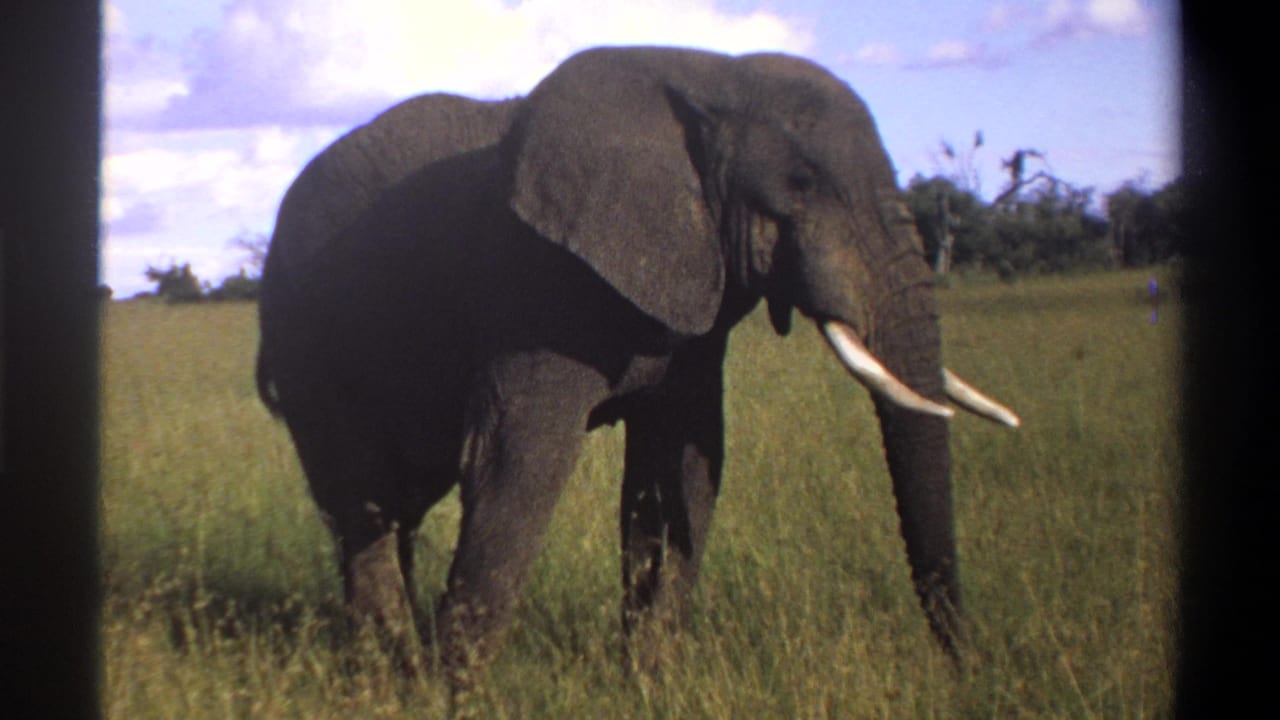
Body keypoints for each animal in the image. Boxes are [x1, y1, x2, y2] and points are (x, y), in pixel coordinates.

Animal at [256, 46, 1020, 687]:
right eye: (801, 183)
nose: (966, 669)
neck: (712, 78)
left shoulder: (691, 301)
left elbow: (682, 464)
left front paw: (654, 684)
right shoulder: (533, 284)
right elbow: (519, 460)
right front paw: (456, 693)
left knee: (396, 503)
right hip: (306, 336)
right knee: (362, 497)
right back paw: (392, 672)